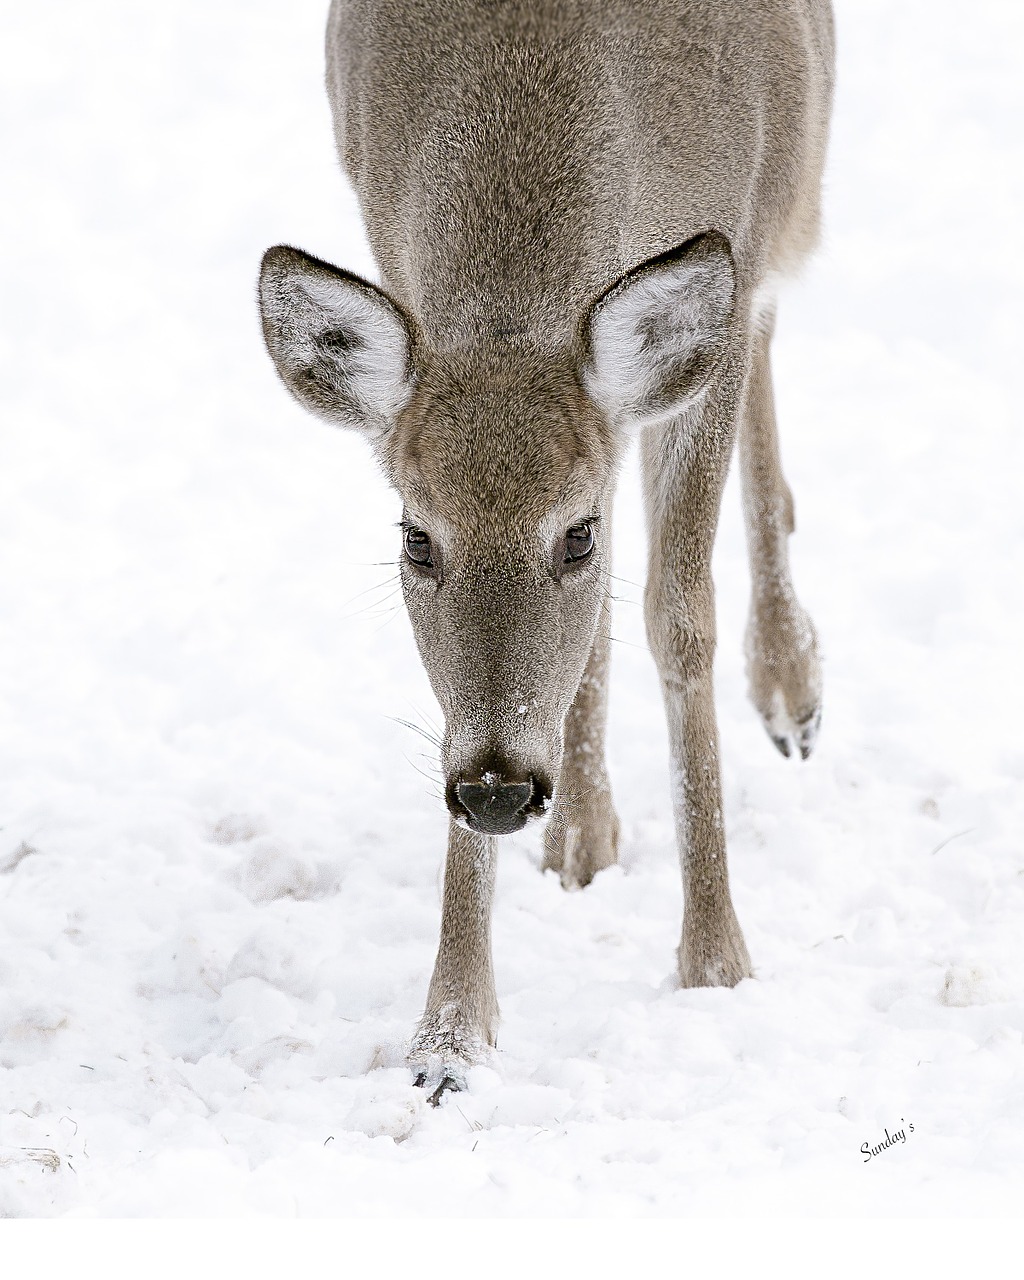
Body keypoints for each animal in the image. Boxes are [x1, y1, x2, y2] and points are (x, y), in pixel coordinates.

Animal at [256, 0, 829, 1100]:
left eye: (574, 534)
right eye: (416, 536)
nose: (498, 786)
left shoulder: (727, 277)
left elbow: (678, 614)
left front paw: (715, 960)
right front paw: (448, 1035)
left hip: (795, 186)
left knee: (774, 331)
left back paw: (790, 685)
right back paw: (582, 834)